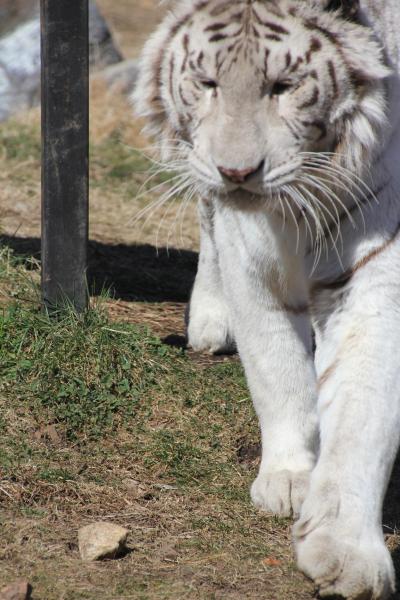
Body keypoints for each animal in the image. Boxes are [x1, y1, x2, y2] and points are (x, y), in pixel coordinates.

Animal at [134, 2, 400, 596]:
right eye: (208, 83)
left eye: (284, 86)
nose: (237, 171)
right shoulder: (250, 258)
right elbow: (276, 369)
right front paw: (289, 478)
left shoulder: (379, 269)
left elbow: (362, 408)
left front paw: (346, 553)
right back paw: (209, 325)